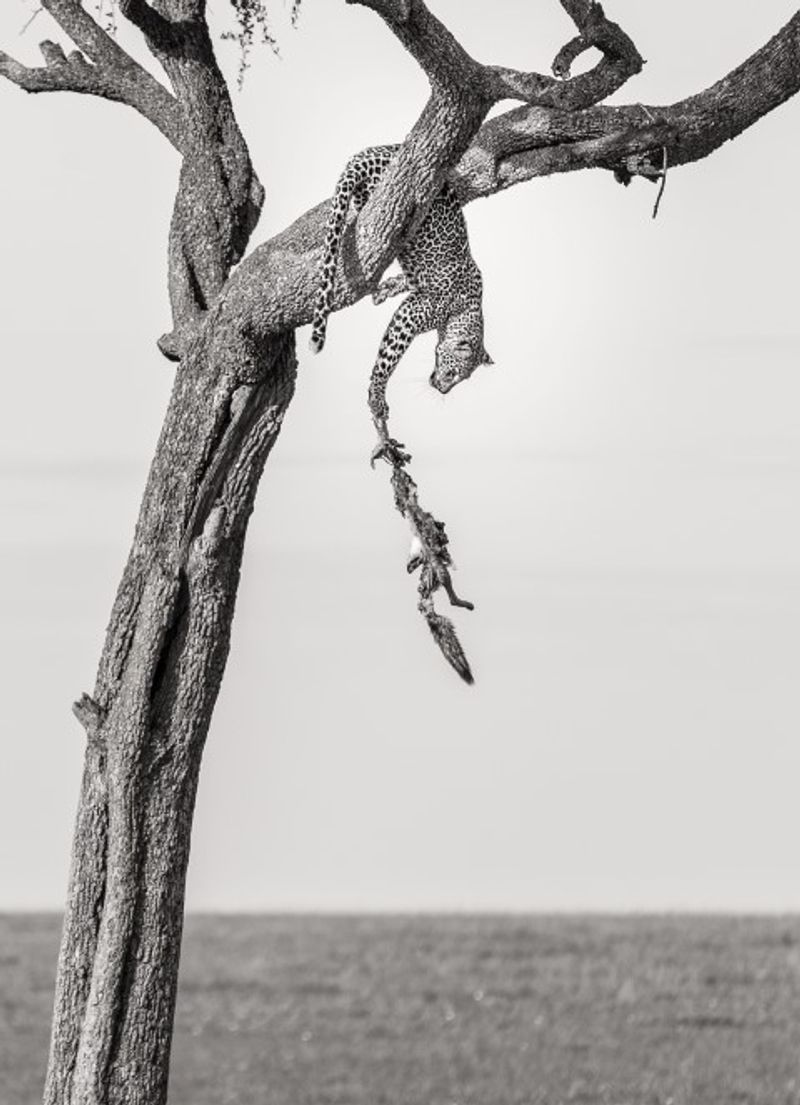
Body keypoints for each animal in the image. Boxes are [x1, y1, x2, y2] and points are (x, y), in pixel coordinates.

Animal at [309, 144, 493, 460]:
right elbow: (387, 358)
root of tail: (372, 153)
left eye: (461, 380)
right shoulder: (410, 315)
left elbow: (406, 282)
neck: (465, 311)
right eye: (453, 373)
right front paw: (376, 396)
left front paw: (384, 290)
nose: (442, 390)